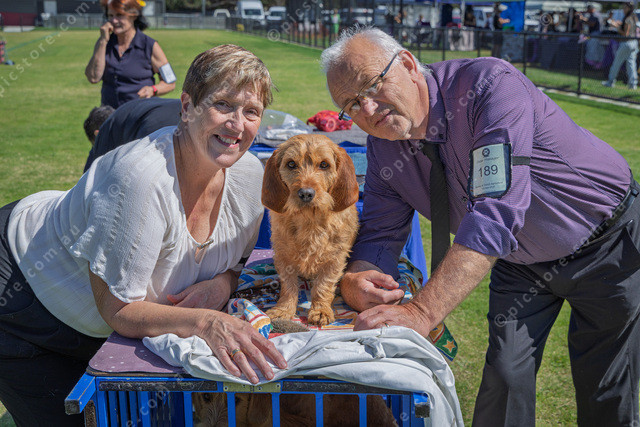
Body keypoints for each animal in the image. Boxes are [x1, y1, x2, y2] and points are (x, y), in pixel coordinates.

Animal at [261, 134, 360, 326]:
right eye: (291, 164)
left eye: (324, 164)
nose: (306, 193)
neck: (309, 220)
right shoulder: (283, 257)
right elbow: (289, 286)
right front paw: (283, 310)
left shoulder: (334, 260)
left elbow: (323, 285)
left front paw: (320, 310)